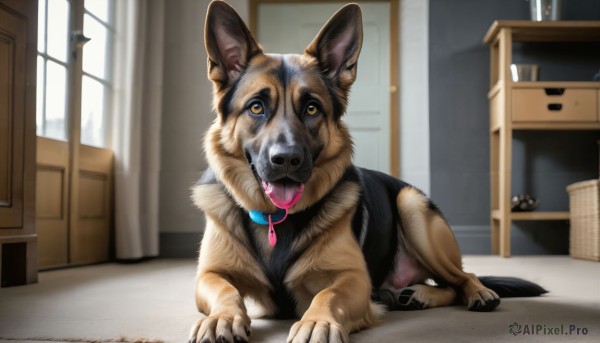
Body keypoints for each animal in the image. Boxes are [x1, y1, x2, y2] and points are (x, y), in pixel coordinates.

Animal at [190, 1, 548, 342]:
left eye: (311, 108)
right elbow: (226, 290)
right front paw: (221, 317)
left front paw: (317, 322)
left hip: (411, 206)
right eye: (256, 107)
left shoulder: (354, 278)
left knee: (463, 278)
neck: (275, 220)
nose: (287, 159)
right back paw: (416, 295)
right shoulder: (209, 275)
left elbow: (327, 294)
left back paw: (471, 292)